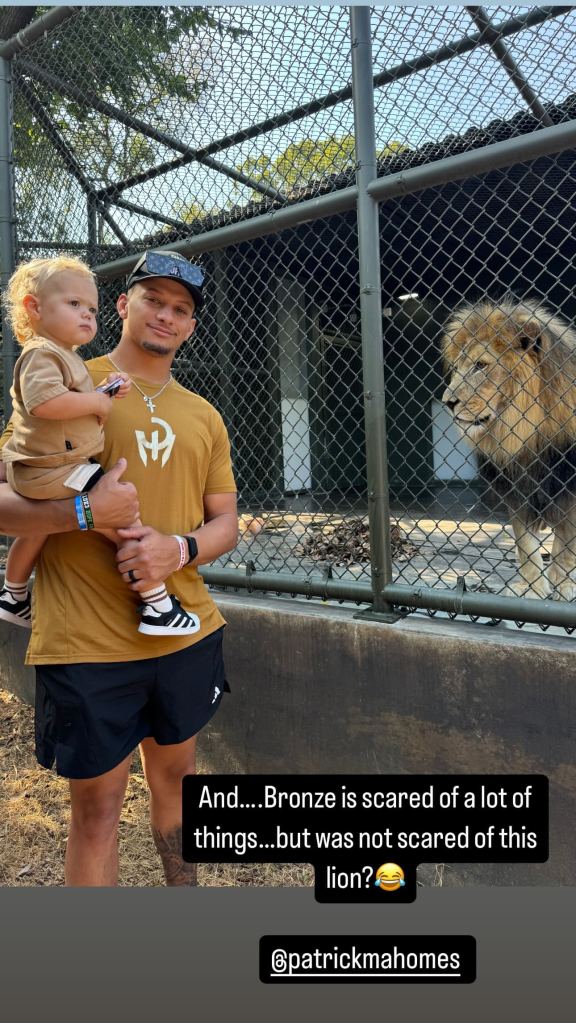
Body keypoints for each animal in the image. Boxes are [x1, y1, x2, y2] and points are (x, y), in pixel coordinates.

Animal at [444, 296, 576, 597]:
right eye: (456, 369)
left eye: (481, 365)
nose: (447, 402)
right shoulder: (517, 491)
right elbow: (525, 545)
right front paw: (532, 588)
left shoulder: (569, 489)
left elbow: (565, 545)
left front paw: (563, 585)